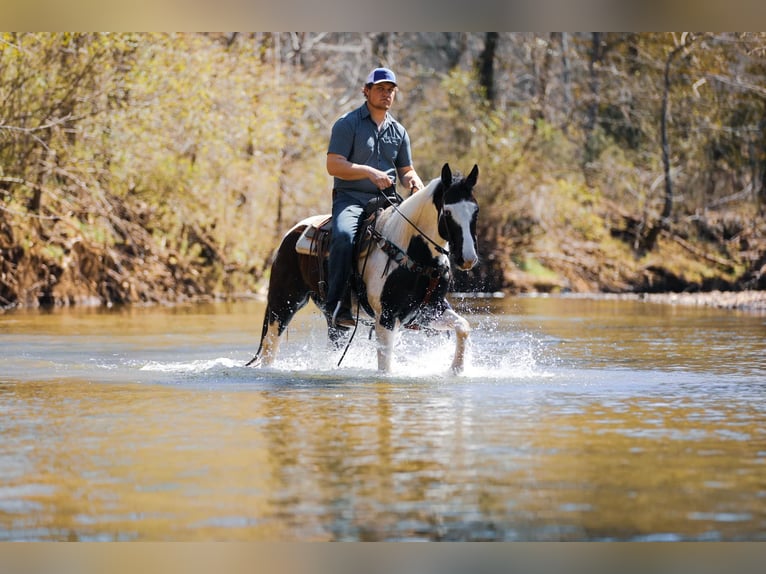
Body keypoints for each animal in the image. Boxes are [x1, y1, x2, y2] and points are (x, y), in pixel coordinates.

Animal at [248, 164, 480, 376]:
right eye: (448, 211)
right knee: (270, 348)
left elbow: (463, 327)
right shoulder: (386, 316)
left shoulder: (429, 310)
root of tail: (290, 234)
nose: (467, 259)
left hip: (333, 320)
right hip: (283, 304)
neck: (413, 253)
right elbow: (385, 368)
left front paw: (456, 370)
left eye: (475, 211)